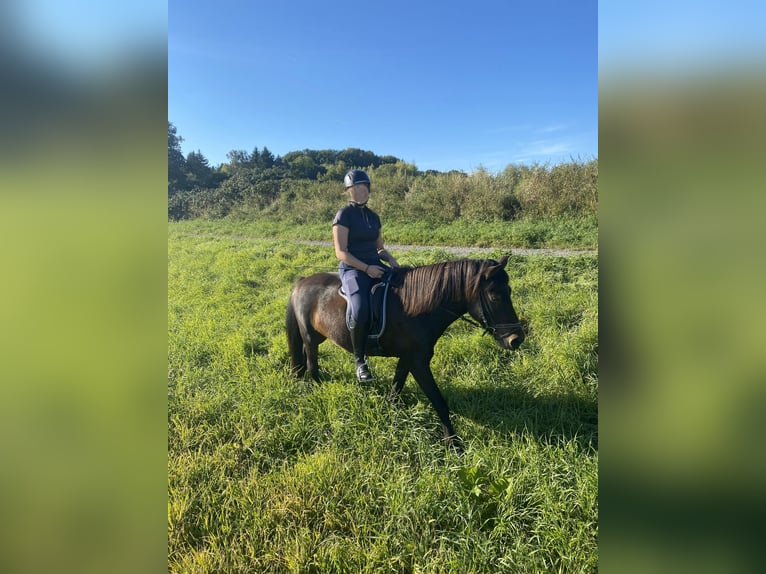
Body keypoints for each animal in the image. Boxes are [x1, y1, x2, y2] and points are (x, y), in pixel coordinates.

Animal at [285, 256, 524, 446]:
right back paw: (318, 389)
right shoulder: (419, 362)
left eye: (509, 291)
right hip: (310, 337)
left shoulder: (408, 358)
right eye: (494, 296)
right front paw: (453, 443)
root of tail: (302, 282)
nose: (516, 340)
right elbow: (439, 401)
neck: (415, 309)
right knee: (312, 365)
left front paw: (392, 415)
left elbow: (396, 388)